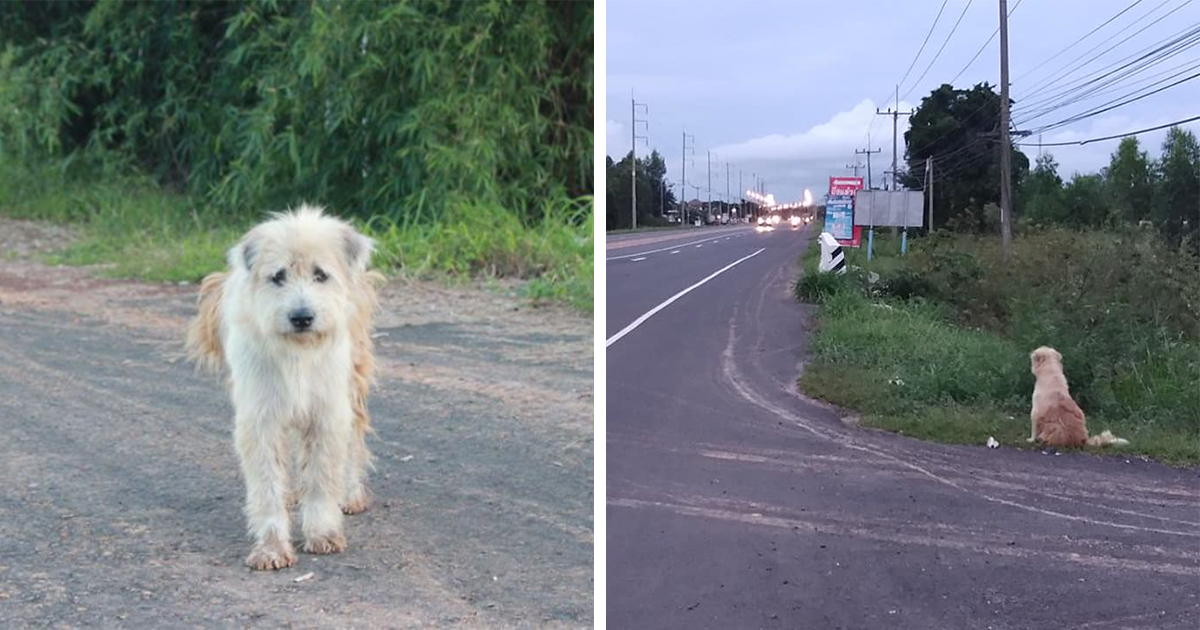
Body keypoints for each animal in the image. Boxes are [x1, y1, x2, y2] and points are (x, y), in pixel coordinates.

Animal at [184, 204, 381, 566]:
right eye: (278, 276)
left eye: (320, 275)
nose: (302, 317)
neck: (297, 352)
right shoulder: (260, 417)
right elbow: (266, 484)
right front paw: (272, 546)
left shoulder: (326, 412)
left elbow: (322, 478)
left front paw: (322, 533)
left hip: (354, 382)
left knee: (353, 442)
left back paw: (350, 494)